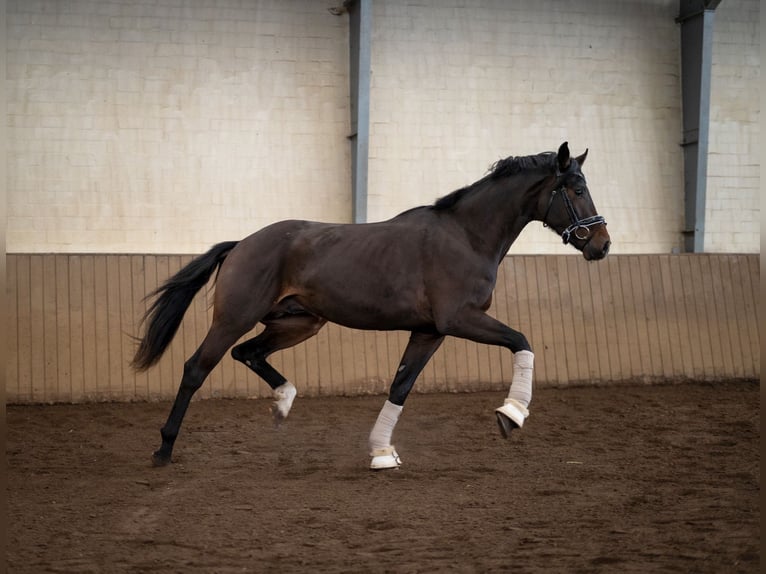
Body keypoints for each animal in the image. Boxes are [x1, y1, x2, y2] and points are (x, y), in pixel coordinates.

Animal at [134, 144, 612, 472]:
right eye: (577, 189)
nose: (602, 245)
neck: (466, 236)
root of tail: (241, 244)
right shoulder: (460, 319)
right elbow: (521, 341)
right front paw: (511, 416)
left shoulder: (430, 331)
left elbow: (400, 386)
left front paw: (381, 452)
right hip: (234, 318)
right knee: (196, 368)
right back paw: (163, 448)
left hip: (300, 322)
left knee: (248, 353)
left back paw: (284, 403)